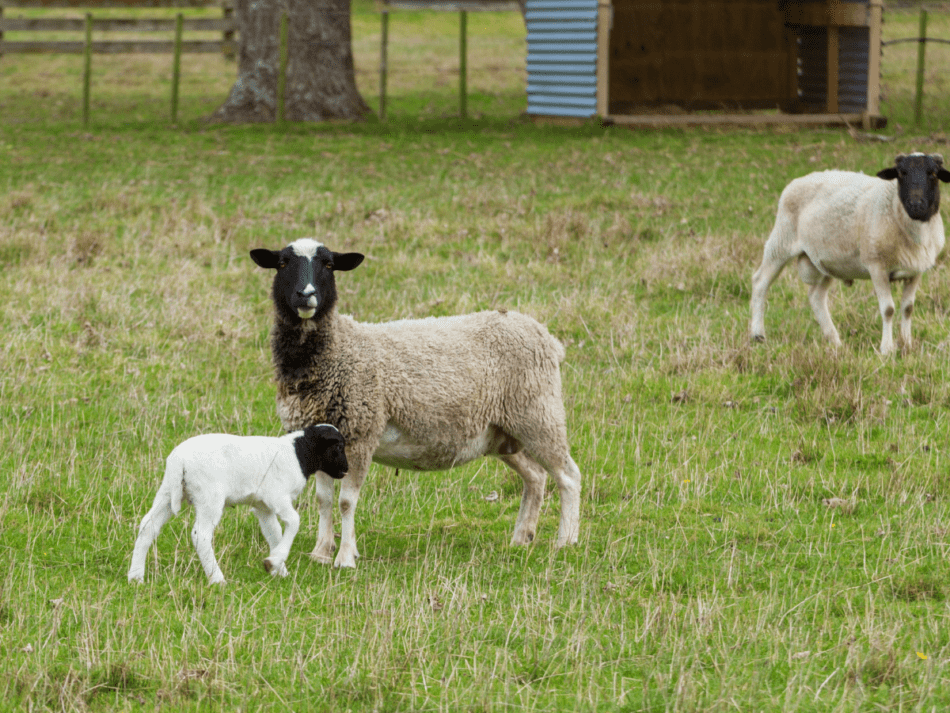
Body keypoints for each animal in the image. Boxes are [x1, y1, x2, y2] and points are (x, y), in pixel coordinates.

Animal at [128, 422, 348, 584]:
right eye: (338, 446)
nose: (345, 470)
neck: (299, 454)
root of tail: (180, 460)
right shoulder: (277, 497)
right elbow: (294, 522)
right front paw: (275, 561)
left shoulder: (263, 507)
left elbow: (274, 533)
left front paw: (278, 569)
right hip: (209, 498)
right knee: (200, 535)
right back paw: (217, 579)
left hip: (168, 492)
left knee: (148, 525)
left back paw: (136, 576)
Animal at [249, 238, 584, 568]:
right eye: (282, 263)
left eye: (329, 265)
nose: (306, 295)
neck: (337, 349)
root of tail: (546, 336)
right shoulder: (322, 438)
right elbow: (324, 499)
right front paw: (321, 552)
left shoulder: (360, 433)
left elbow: (345, 501)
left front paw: (344, 558)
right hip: (503, 433)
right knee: (536, 477)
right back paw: (521, 538)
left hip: (538, 414)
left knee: (568, 476)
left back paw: (566, 541)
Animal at [752, 153, 950, 354]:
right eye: (901, 173)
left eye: (933, 173)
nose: (916, 204)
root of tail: (799, 180)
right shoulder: (876, 266)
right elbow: (888, 309)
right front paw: (887, 349)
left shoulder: (916, 271)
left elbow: (908, 308)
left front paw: (907, 344)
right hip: (781, 242)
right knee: (761, 282)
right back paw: (758, 334)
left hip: (827, 262)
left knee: (816, 297)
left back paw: (835, 341)